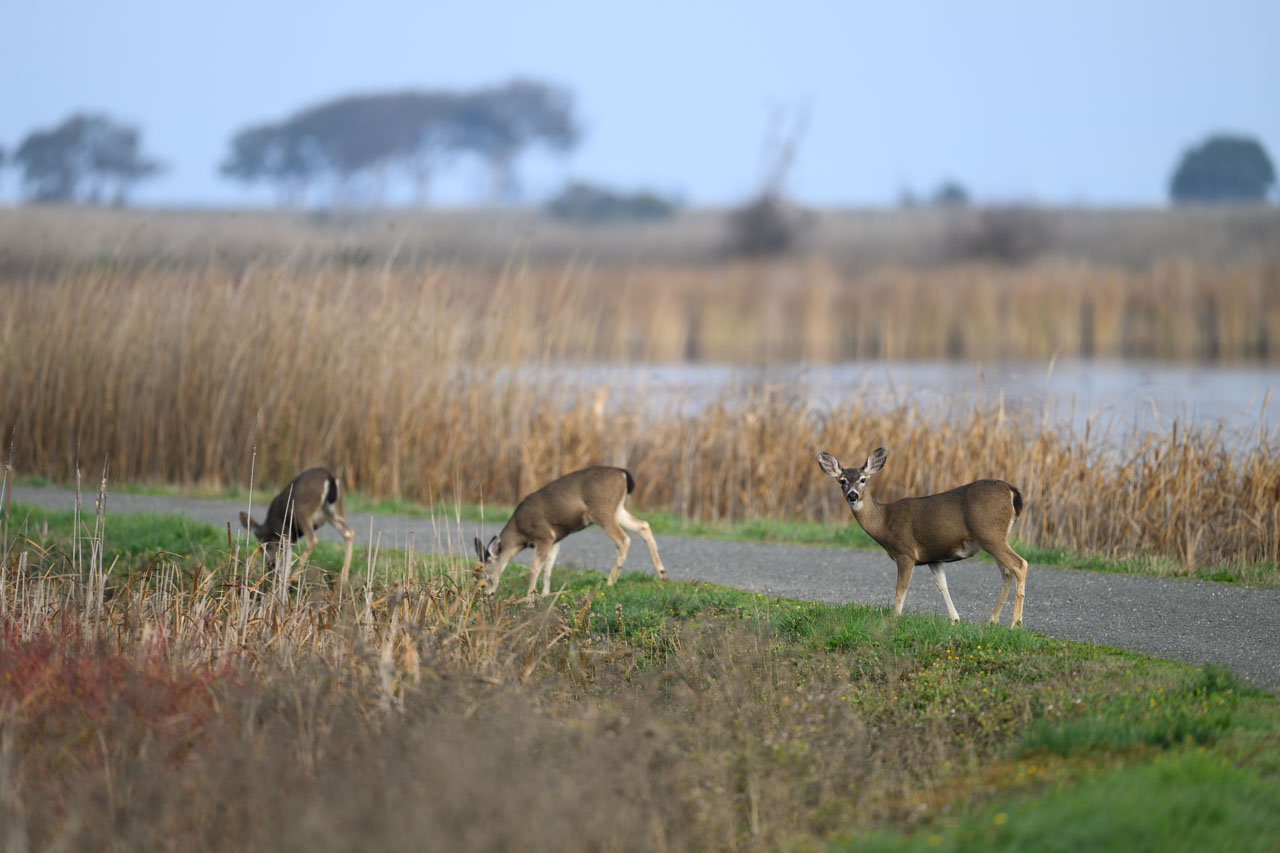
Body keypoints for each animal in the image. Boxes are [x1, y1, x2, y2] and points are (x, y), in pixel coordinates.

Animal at [473, 466, 668, 599]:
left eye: (486, 574)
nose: (486, 594)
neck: (520, 535)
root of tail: (623, 474)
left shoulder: (544, 535)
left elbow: (535, 567)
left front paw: (529, 597)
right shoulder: (555, 540)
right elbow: (548, 567)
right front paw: (545, 595)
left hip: (601, 509)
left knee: (623, 539)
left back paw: (610, 582)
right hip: (618, 509)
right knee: (643, 525)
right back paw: (662, 573)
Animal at [816, 448, 1029, 627]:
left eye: (863, 479)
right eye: (842, 480)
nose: (852, 495)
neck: (884, 522)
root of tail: (1012, 491)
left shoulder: (905, 553)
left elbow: (900, 589)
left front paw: (894, 619)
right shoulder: (933, 557)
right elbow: (942, 585)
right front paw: (955, 619)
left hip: (990, 534)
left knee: (1019, 565)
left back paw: (1015, 624)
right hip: (996, 537)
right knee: (1007, 572)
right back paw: (991, 621)